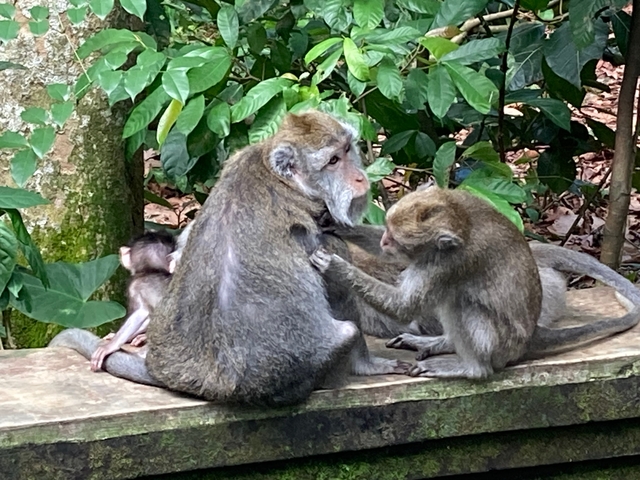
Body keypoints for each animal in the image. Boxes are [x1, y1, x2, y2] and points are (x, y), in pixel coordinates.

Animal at [310, 187, 640, 379]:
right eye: (388, 230)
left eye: (396, 238)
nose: (385, 240)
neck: (462, 222)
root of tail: (531, 336)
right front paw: (336, 225)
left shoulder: (448, 264)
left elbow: (404, 306)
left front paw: (335, 267)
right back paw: (441, 343)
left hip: (501, 345)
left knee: (458, 302)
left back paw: (471, 368)